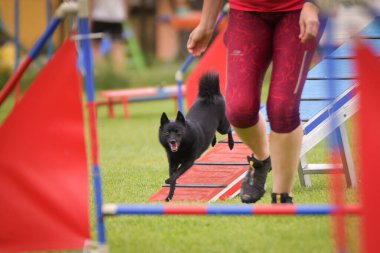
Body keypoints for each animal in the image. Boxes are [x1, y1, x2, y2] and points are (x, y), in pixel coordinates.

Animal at [158, 71, 235, 202]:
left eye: (178, 132)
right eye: (167, 133)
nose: (172, 141)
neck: (181, 149)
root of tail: (211, 94)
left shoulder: (189, 161)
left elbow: (177, 174)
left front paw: (169, 181)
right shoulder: (172, 163)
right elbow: (174, 177)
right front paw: (169, 196)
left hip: (222, 126)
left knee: (229, 128)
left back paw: (231, 144)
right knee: (213, 133)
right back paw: (213, 141)